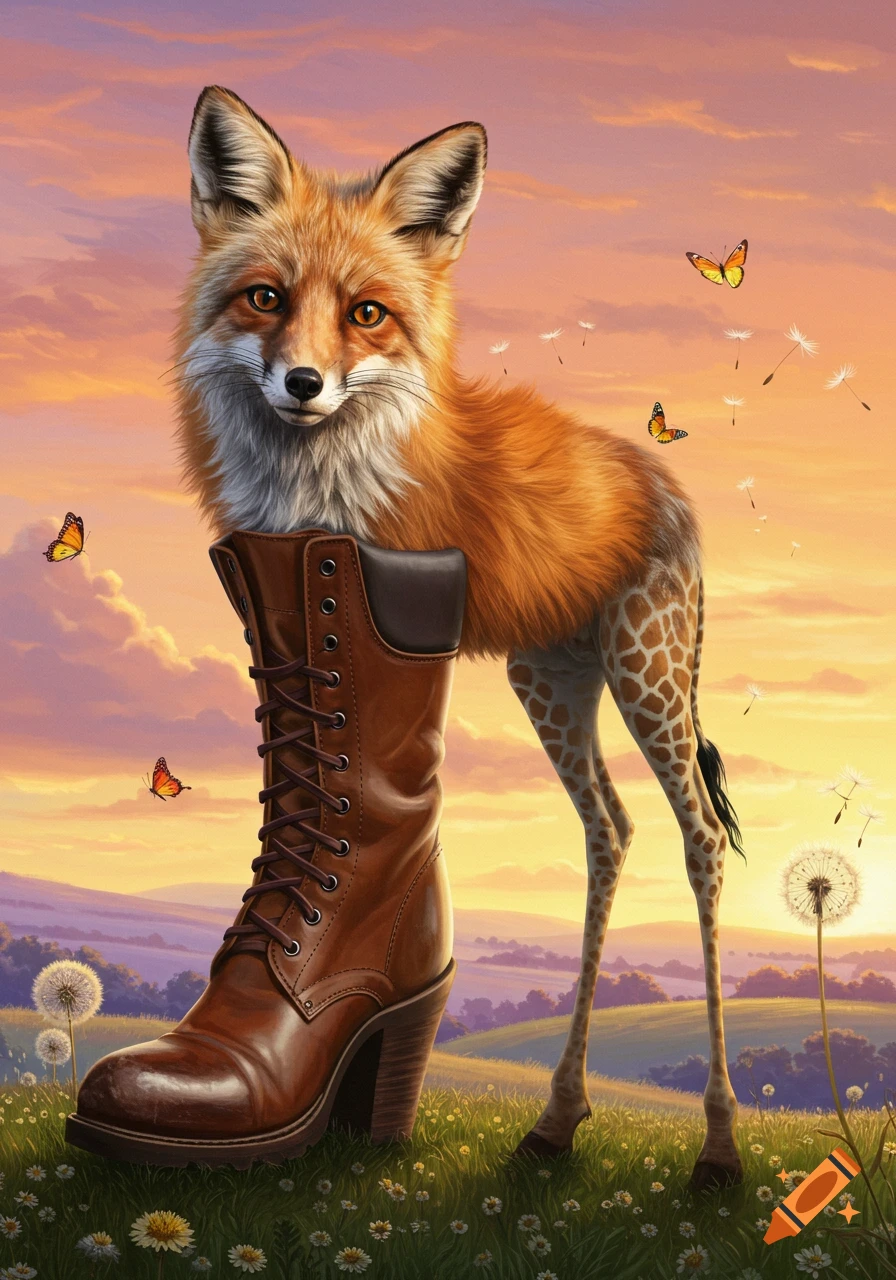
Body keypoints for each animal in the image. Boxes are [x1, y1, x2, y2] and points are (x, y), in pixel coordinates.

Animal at [507, 559, 743, 1191]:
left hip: (634, 652)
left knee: (700, 830)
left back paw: (718, 1150)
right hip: (558, 660)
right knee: (613, 824)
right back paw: (555, 1122)